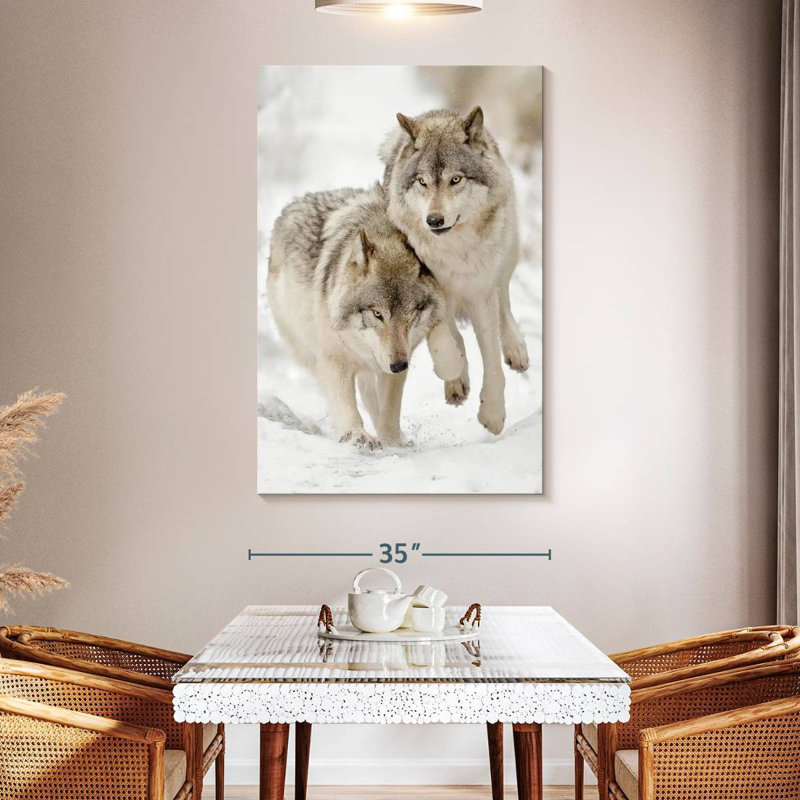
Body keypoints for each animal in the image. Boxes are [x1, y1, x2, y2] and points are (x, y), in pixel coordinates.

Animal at [267, 185, 463, 449]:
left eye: (410, 314)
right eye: (377, 314)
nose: (399, 365)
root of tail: (293, 205)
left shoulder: (396, 361)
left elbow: (389, 411)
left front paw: (392, 441)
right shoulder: (334, 361)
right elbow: (347, 406)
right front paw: (357, 436)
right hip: (308, 351)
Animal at [380, 106, 528, 435]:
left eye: (456, 179)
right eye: (422, 182)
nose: (434, 220)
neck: (454, 253)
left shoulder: (480, 291)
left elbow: (492, 359)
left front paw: (493, 414)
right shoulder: (432, 288)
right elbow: (444, 339)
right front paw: (453, 372)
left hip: (507, 255)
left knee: (505, 303)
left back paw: (516, 350)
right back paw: (457, 380)